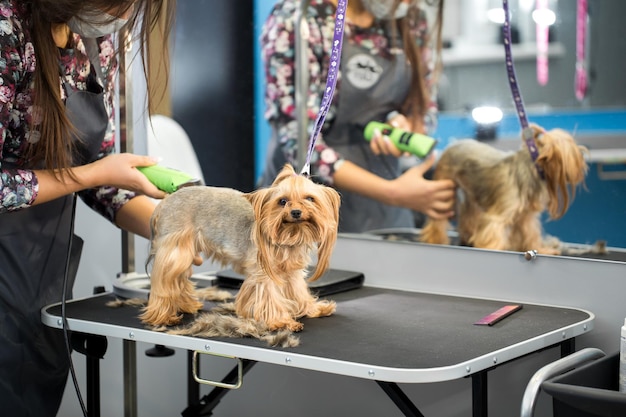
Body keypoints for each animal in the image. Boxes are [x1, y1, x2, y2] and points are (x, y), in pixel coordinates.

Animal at [141, 164, 338, 330]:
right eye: (282, 201)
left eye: (310, 199)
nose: (296, 212)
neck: (289, 235)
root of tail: (165, 202)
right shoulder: (264, 273)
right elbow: (269, 296)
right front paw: (281, 321)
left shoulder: (291, 272)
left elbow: (298, 291)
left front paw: (313, 309)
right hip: (175, 250)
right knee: (165, 282)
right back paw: (163, 317)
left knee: (178, 279)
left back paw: (186, 305)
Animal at [420, 123, 584, 254]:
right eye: (574, 153)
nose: (583, 155)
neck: (531, 166)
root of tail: (453, 144)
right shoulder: (497, 217)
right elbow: (493, 237)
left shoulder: (526, 218)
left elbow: (531, 235)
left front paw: (541, 249)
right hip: (444, 189)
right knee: (437, 222)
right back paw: (435, 240)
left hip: (472, 193)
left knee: (469, 216)